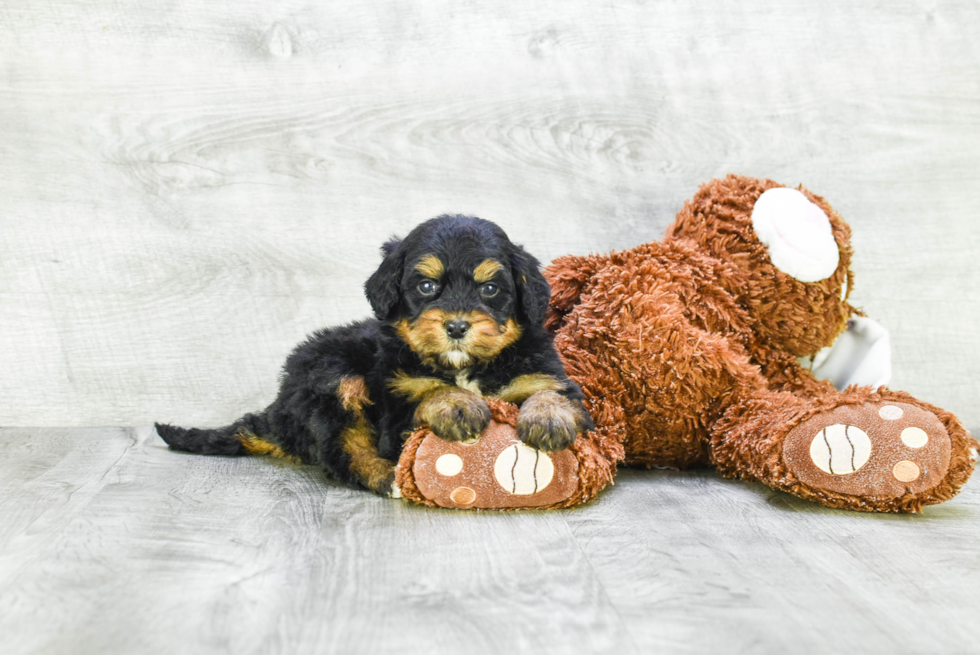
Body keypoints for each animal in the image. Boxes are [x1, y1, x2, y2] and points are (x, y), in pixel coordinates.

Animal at [157, 218, 592, 494]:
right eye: (427, 286)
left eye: (490, 289)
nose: (456, 327)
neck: (463, 366)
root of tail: (277, 409)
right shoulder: (396, 406)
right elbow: (429, 391)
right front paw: (456, 404)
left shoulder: (548, 374)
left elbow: (552, 392)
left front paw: (549, 419)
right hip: (333, 377)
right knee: (342, 450)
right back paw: (389, 479)